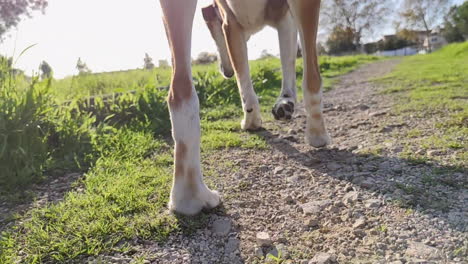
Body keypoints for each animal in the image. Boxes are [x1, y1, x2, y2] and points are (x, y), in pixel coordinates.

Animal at [159, 0, 328, 216]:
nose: (225, 72)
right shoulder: (232, 24)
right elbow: (299, 73)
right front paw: (316, 132)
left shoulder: (281, 16)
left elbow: (291, 63)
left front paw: (287, 102)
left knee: (180, 92)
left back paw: (188, 197)